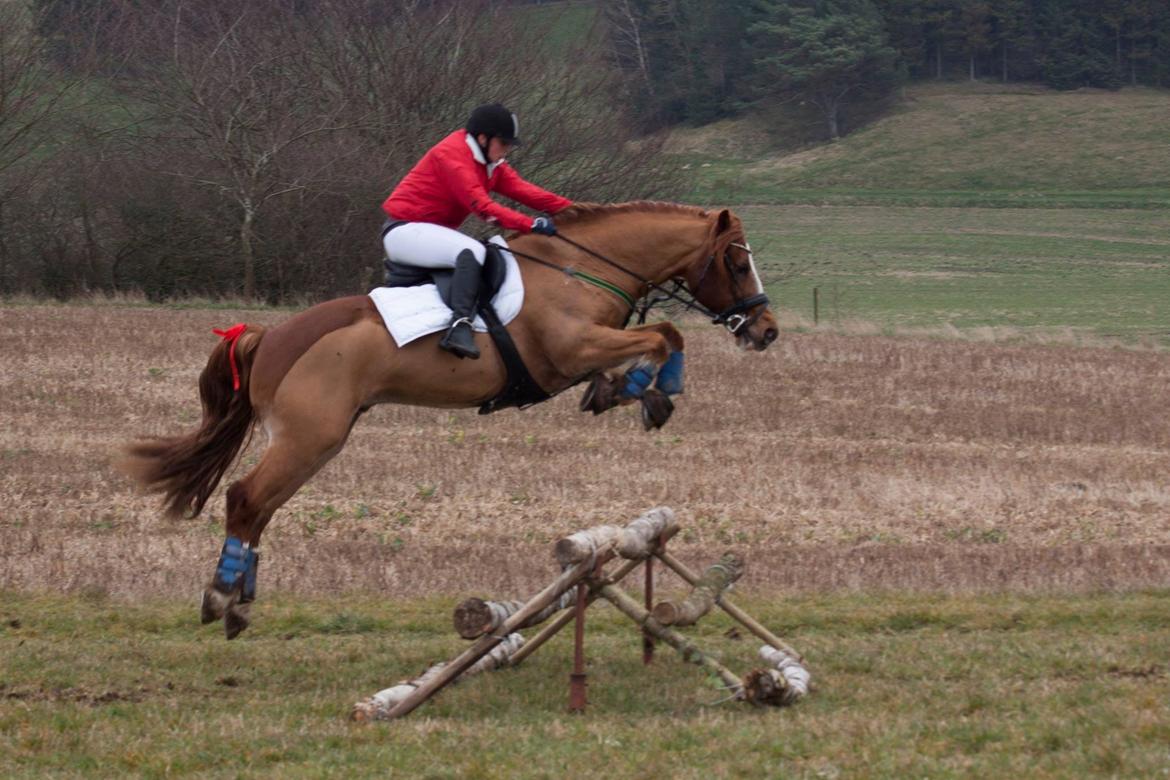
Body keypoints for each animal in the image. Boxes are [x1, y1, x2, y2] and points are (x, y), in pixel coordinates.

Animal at [118, 198, 776, 636]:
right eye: (738, 263)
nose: (767, 331)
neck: (581, 269)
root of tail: (269, 335)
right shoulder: (571, 349)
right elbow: (665, 335)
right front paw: (655, 391)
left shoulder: (588, 351)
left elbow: (648, 347)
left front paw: (632, 393)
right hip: (309, 438)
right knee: (247, 498)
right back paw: (223, 598)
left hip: (316, 442)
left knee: (260, 507)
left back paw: (241, 600)